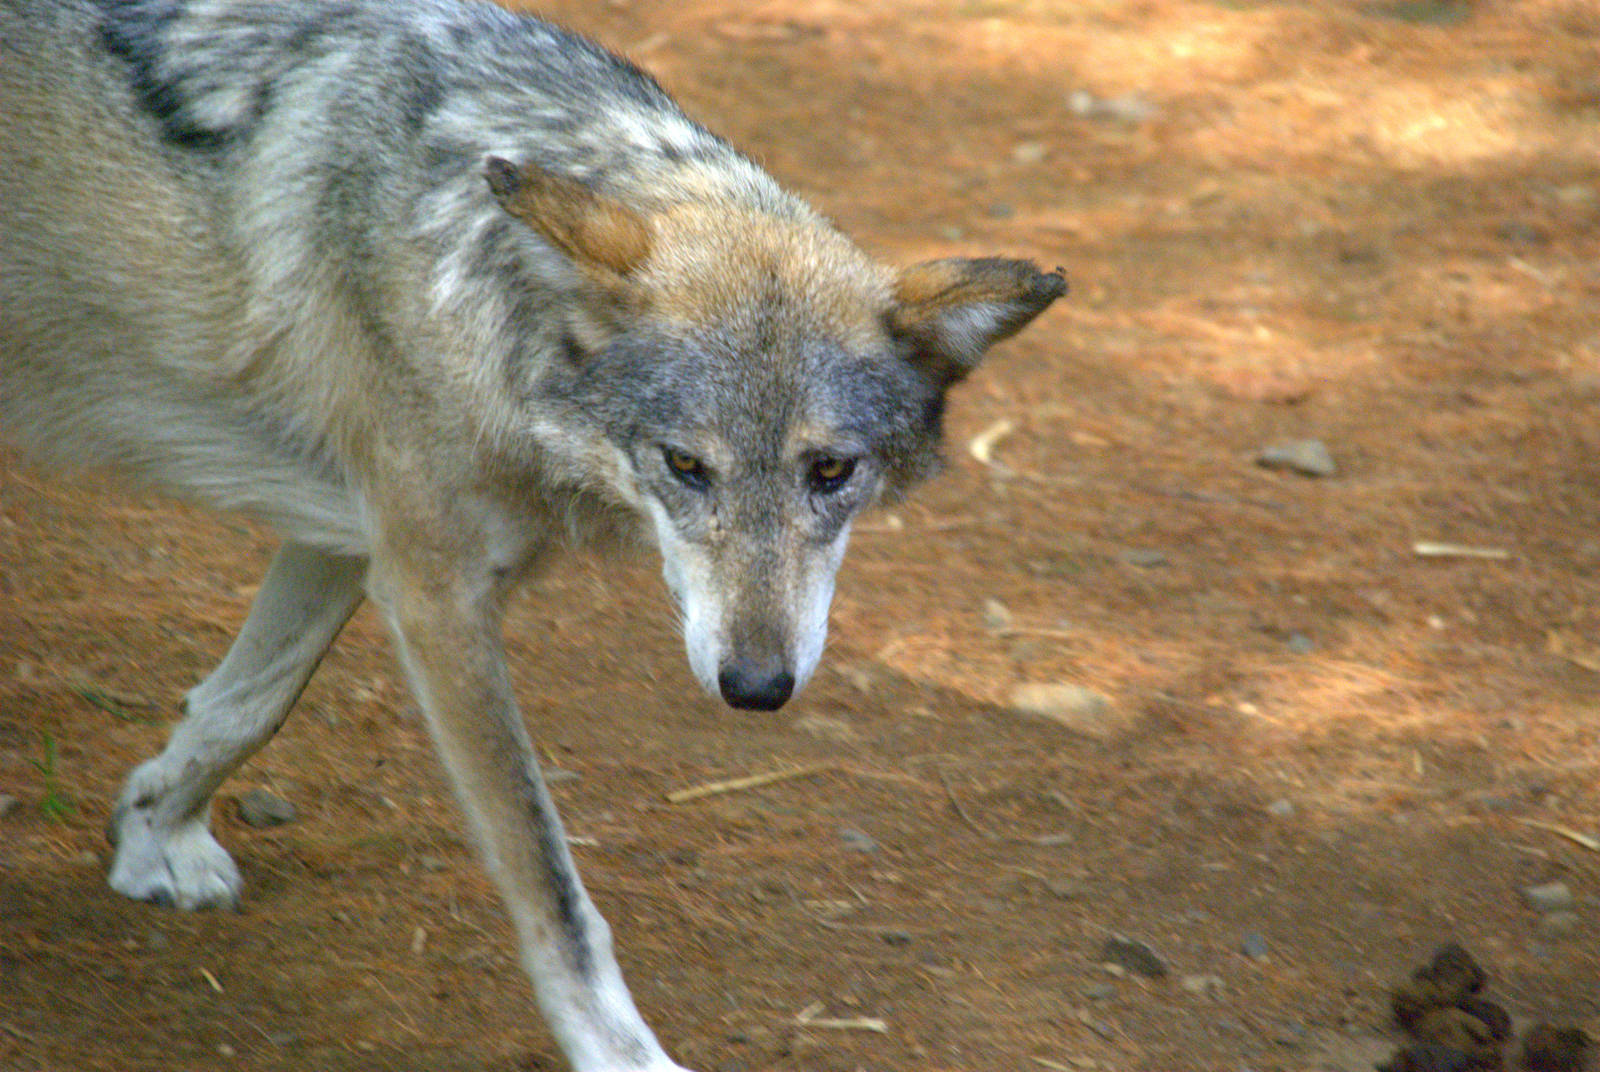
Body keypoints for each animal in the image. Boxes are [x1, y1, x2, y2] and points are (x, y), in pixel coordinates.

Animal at [0, 0, 1065, 1067]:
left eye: (831, 472)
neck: (475, 285)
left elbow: (243, 706)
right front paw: (621, 1051)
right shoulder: (434, 592)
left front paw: (151, 836)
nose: (758, 688)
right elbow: (550, 882)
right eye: (686, 466)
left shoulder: (355, 541)